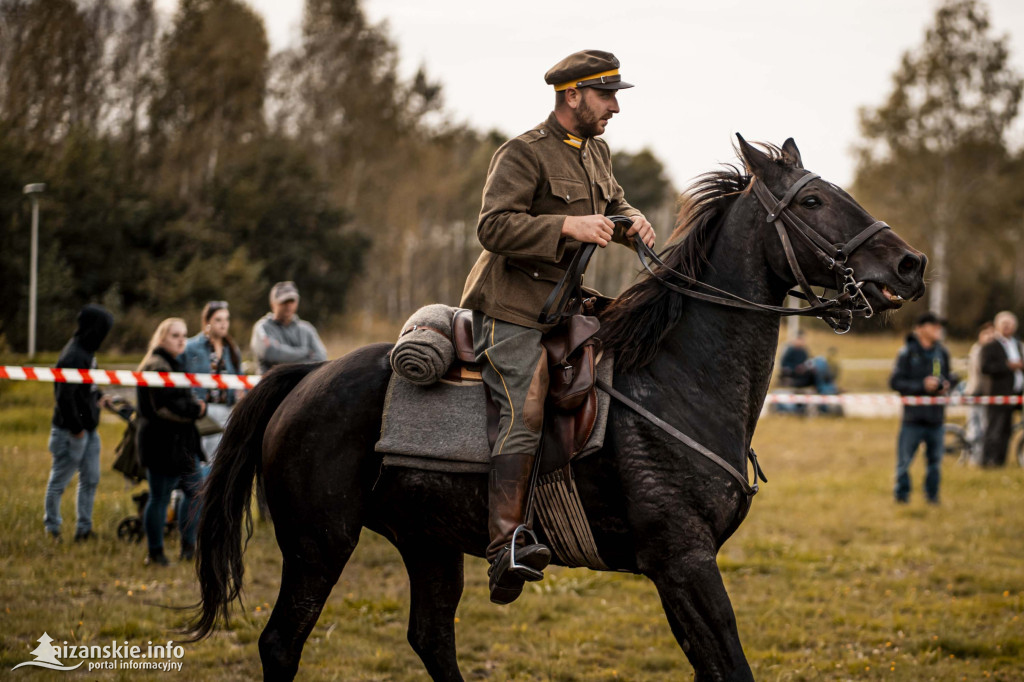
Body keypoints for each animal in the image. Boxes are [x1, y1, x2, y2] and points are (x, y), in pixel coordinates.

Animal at [186, 135, 929, 675]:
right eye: (813, 202)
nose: (911, 264)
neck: (675, 376)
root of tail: (307, 377)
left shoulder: (679, 573)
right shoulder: (684, 562)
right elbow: (730, 664)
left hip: (429, 543)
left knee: (431, 639)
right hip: (319, 544)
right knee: (282, 643)